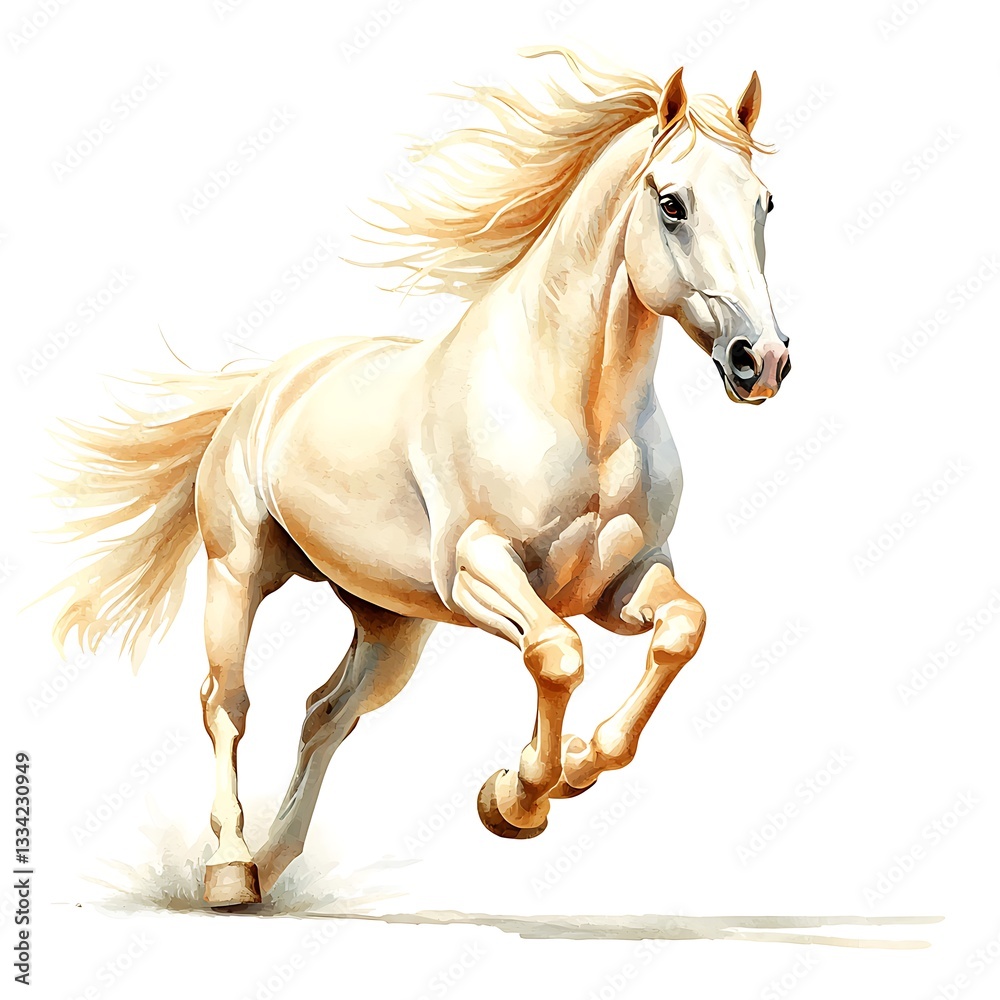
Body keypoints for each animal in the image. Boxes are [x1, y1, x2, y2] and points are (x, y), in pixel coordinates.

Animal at [48, 48, 791, 908]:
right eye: (672, 203)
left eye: (766, 202)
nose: (762, 360)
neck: (577, 410)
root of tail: (266, 386)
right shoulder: (477, 568)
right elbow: (557, 654)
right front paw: (519, 797)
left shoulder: (625, 581)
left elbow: (681, 631)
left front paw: (567, 770)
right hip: (239, 572)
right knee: (227, 704)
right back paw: (231, 870)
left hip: (390, 624)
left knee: (326, 713)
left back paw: (272, 864)